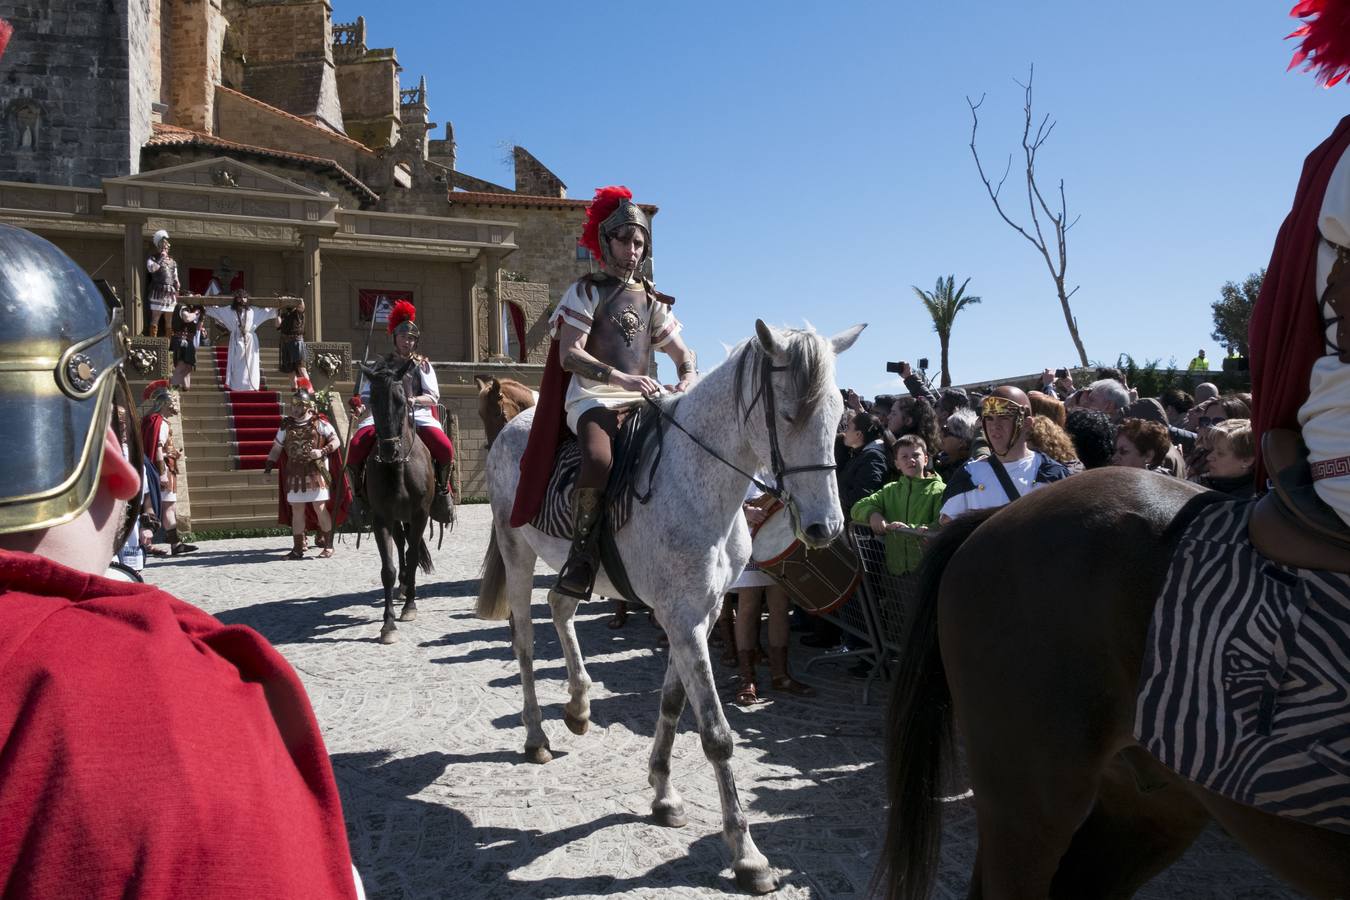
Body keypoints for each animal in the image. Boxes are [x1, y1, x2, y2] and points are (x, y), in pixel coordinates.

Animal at [475, 319, 864, 890]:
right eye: (790, 414)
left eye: (838, 414)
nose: (824, 528)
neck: (699, 480)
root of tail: (511, 431)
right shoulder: (682, 621)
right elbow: (717, 735)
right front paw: (748, 855)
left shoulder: (699, 613)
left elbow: (673, 705)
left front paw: (662, 793)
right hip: (516, 550)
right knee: (524, 638)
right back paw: (536, 735)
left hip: (574, 568)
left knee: (560, 607)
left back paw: (578, 706)